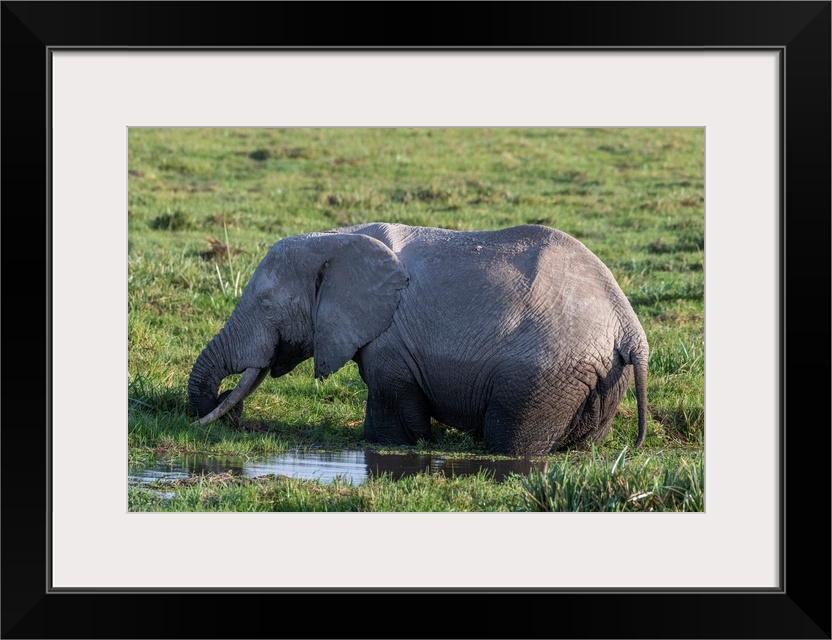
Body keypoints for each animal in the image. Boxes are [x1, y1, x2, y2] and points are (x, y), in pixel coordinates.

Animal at [188, 222, 648, 452]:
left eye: (266, 305)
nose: (232, 415)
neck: (337, 238)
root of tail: (629, 327)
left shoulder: (391, 340)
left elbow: (390, 404)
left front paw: (403, 443)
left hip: (546, 372)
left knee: (510, 440)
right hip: (594, 375)